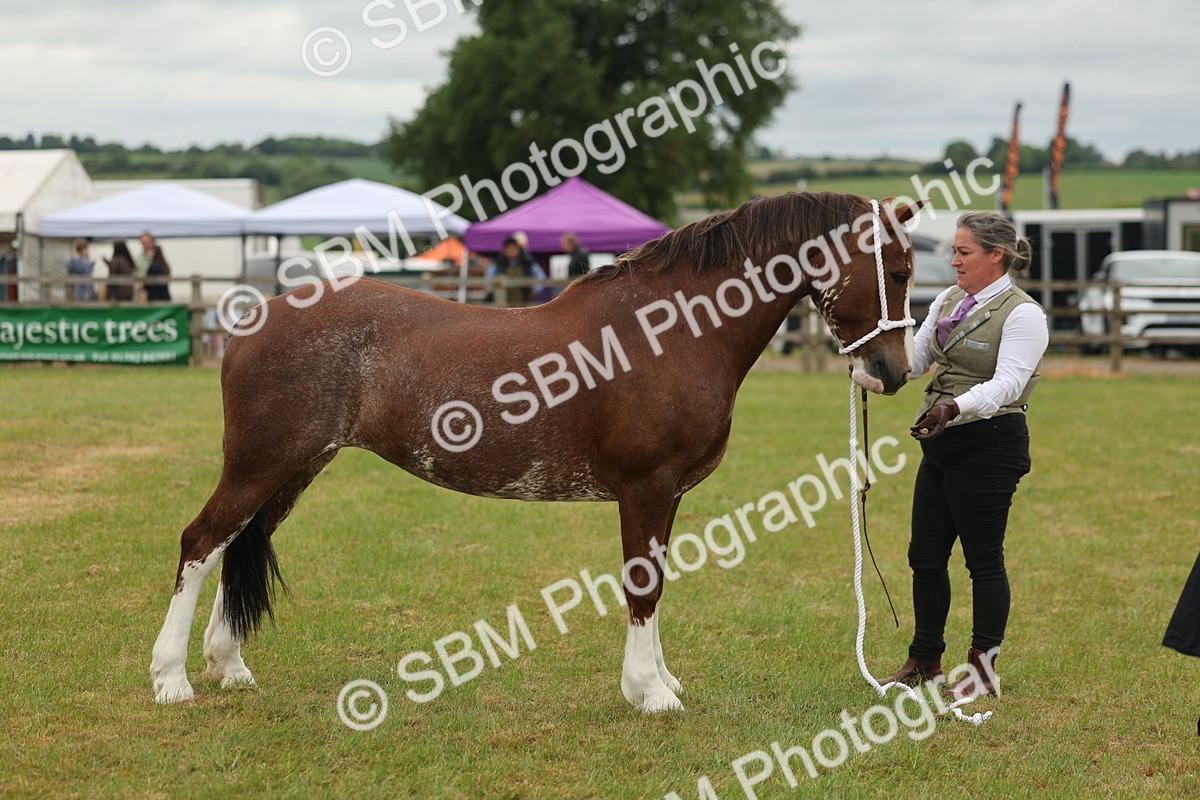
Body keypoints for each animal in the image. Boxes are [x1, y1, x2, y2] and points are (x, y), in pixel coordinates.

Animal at [150, 191, 925, 712]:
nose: (890, 372)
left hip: (294, 468)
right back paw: (172, 679)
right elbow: (643, 585)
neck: (672, 330)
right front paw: (650, 693)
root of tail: (253, 319)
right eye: (894, 270)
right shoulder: (646, 487)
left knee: (236, 544)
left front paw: (661, 679)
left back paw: (229, 666)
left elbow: (659, 582)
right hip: (260, 465)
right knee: (201, 542)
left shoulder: (667, 494)